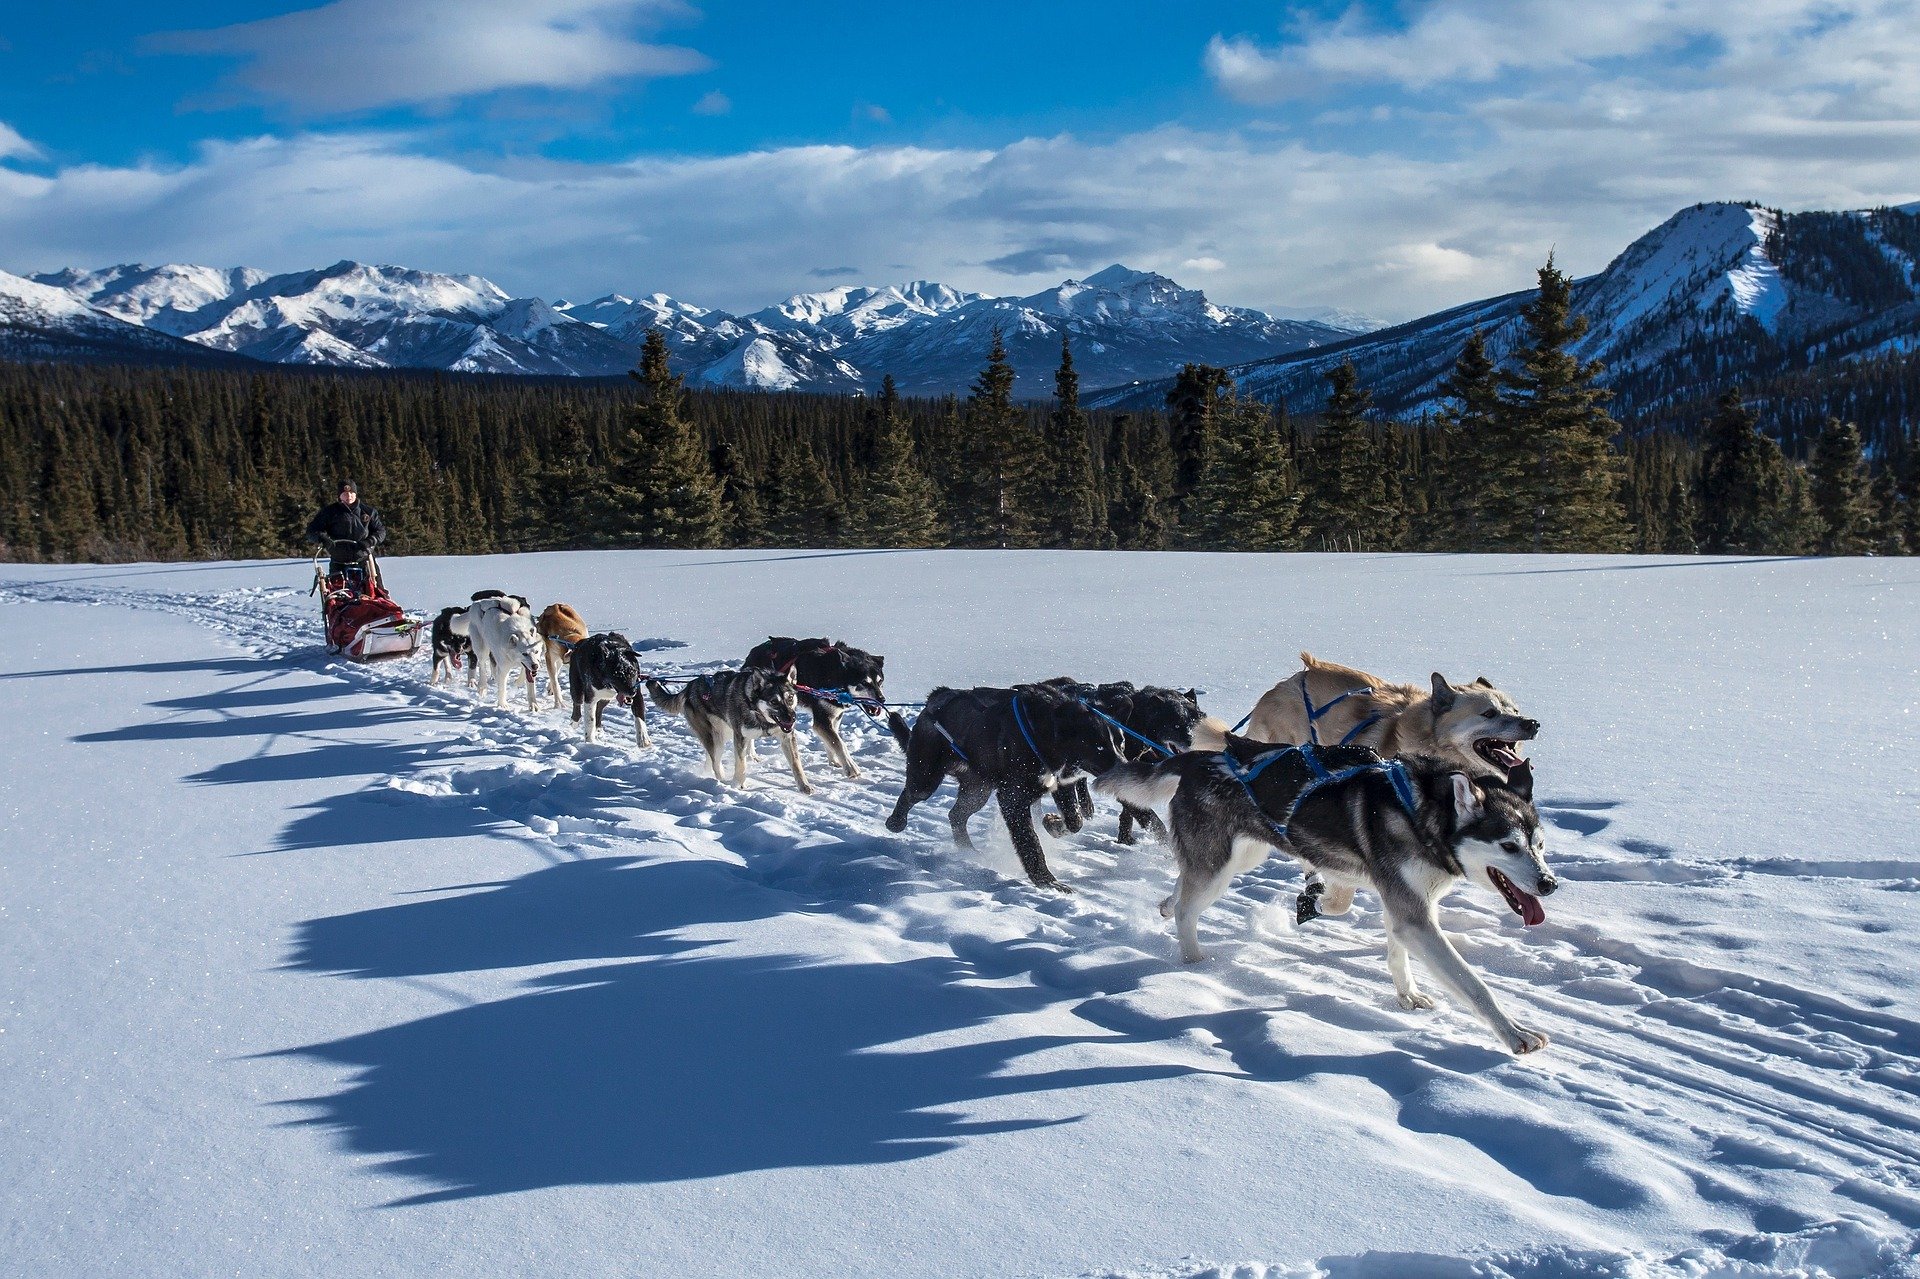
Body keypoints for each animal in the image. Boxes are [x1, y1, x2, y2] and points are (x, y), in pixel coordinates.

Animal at [744, 633, 887, 775]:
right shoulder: (822, 720)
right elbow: (839, 743)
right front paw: (851, 768)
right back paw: (752, 755)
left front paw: (833, 761)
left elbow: (833, 740)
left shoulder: (834, 716)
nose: (882, 699)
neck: (836, 675)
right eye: (864, 682)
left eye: (880, 681)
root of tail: (754, 651)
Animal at [883, 683, 1121, 891]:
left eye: (1119, 742)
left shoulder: (1062, 784)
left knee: (956, 815)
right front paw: (1047, 881)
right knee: (911, 795)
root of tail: (935, 698)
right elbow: (1030, 842)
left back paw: (968, 850)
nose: (1124, 765)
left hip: (977, 792)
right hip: (926, 778)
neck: (1043, 731)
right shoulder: (1012, 799)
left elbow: (1074, 820)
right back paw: (895, 822)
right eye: (1099, 746)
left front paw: (1053, 824)